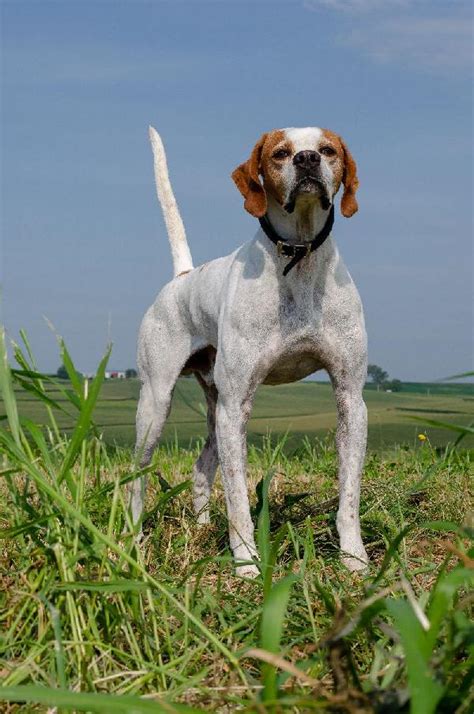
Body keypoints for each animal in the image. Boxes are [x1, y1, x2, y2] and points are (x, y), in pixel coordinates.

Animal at [131, 125, 370, 576]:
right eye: (280, 153)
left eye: (328, 149)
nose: (308, 159)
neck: (298, 257)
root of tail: (183, 277)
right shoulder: (236, 404)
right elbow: (239, 499)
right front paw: (246, 565)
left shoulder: (351, 397)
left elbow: (349, 498)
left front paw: (355, 560)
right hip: (157, 405)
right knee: (137, 474)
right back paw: (131, 537)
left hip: (214, 408)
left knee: (201, 469)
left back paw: (201, 528)